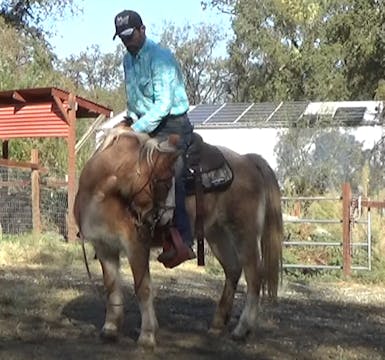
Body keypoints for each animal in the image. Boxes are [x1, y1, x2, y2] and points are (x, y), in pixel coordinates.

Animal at [73, 127, 282, 348]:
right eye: (163, 182)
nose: (154, 222)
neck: (104, 195)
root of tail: (248, 160)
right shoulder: (104, 247)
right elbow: (111, 287)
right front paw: (110, 329)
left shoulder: (136, 246)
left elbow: (143, 289)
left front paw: (147, 335)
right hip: (217, 234)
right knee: (233, 269)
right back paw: (218, 324)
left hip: (244, 234)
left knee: (254, 276)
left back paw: (242, 329)